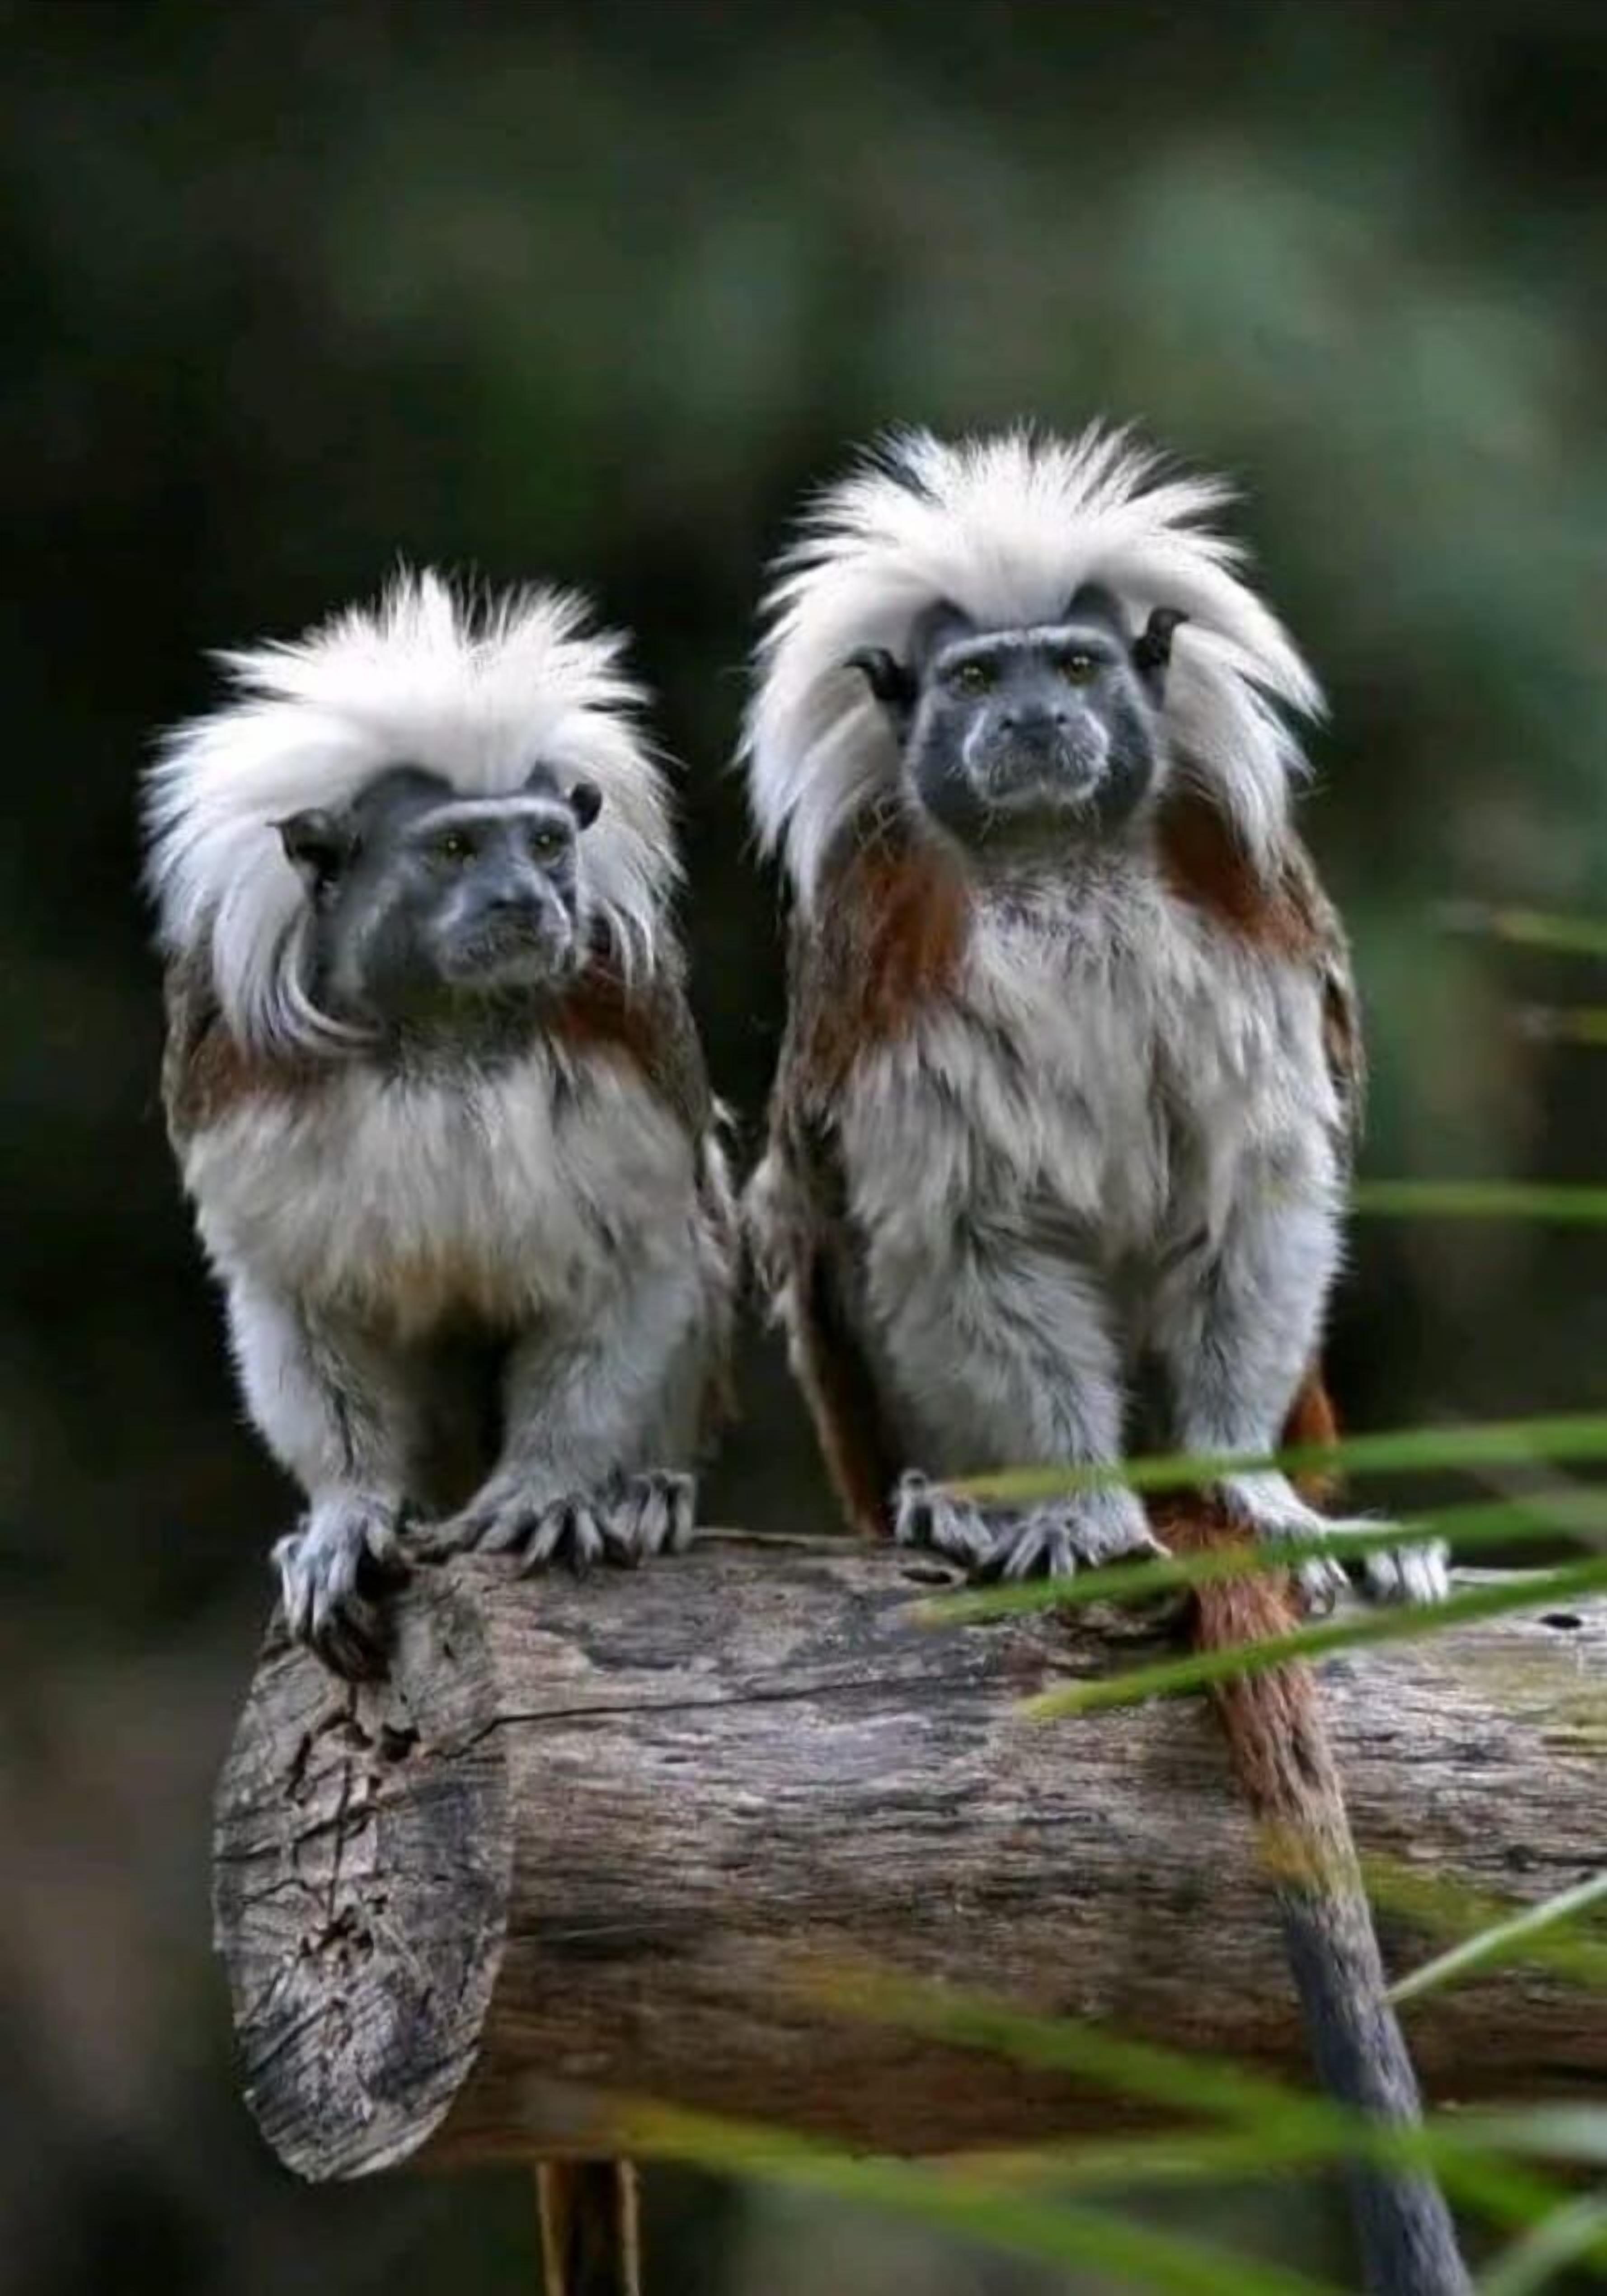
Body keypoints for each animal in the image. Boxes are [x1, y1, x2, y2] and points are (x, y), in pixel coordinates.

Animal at [146, 573, 734, 2296]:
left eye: (543, 841)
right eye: (458, 847)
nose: (531, 896)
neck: (442, 1037)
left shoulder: (624, 1036)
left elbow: (632, 1270)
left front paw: (561, 1492)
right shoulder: (244, 1087)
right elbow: (307, 1316)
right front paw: (346, 1519)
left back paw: (646, 1495)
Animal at [742, 425, 1468, 2296]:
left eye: (1072, 668)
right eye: (972, 679)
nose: (1026, 723)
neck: (1056, 862)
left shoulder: (1248, 916)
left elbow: (1253, 1191)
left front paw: (1241, 1490)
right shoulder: (887, 953)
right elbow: (967, 1237)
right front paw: (1069, 1511)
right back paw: (948, 1502)